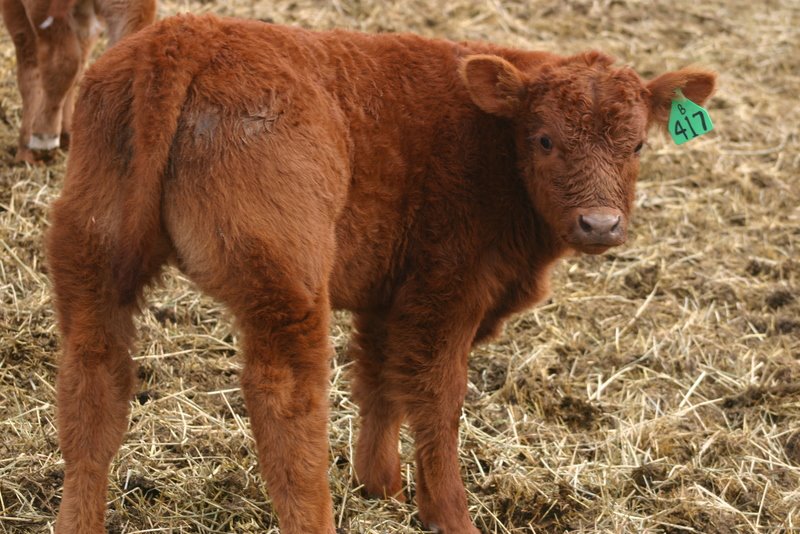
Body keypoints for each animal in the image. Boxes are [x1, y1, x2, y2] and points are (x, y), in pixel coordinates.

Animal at [45, 14, 716, 534]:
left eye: (636, 145)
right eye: (545, 139)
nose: (600, 224)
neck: (491, 140)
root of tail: (185, 35)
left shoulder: (387, 295)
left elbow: (378, 381)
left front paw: (381, 487)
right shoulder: (446, 291)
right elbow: (437, 401)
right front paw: (447, 515)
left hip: (89, 259)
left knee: (92, 391)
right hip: (285, 285)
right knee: (287, 403)